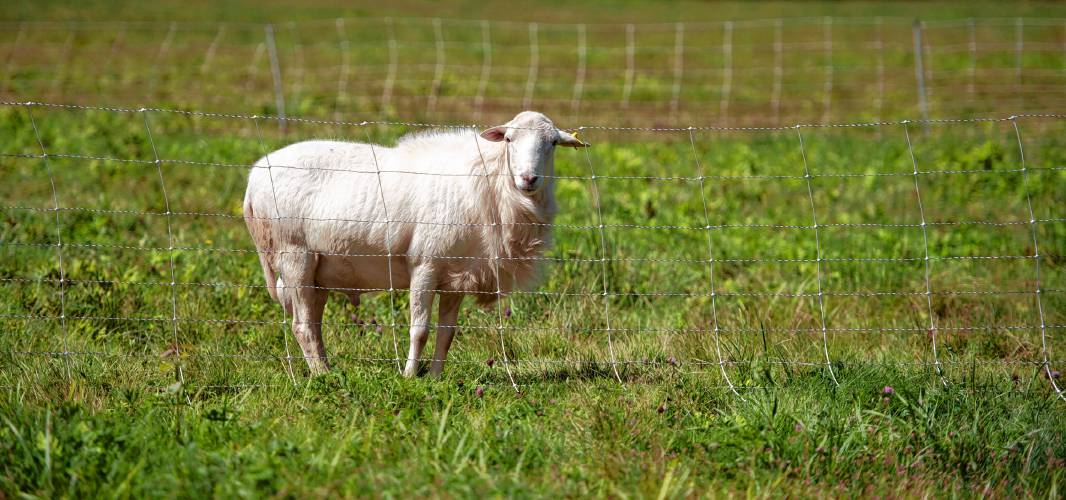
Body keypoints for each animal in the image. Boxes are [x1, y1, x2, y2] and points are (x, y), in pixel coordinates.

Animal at [244, 109, 588, 375]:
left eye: (553, 143)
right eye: (508, 140)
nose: (528, 179)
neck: (489, 185)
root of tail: (255, 176)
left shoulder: (457, 276)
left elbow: (447, 334)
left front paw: (436, 378)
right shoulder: (425, 264)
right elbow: (419, 330)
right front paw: (410, 376)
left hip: (319, 271)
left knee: (313, 325)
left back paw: (327, 368)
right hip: (294, 255)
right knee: (302, 326)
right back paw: (322, 376)